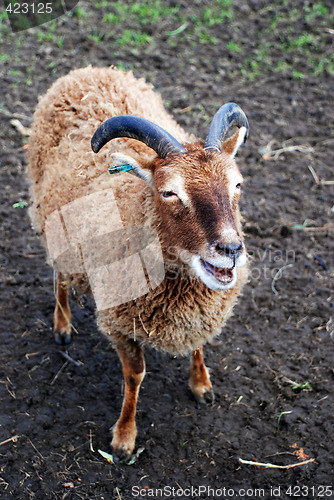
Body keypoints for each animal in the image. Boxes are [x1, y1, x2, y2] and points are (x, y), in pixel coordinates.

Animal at [27, 65, 249, 460]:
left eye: (236, 185)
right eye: (169, 192)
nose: (230, 248)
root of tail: (86, 71)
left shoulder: (198, 314)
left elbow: (198, 343)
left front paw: (201, 384)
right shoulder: (119, 323)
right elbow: (135, 376)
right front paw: (124, 439)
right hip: (51, 218)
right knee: (60, 273)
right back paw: (62, 323)